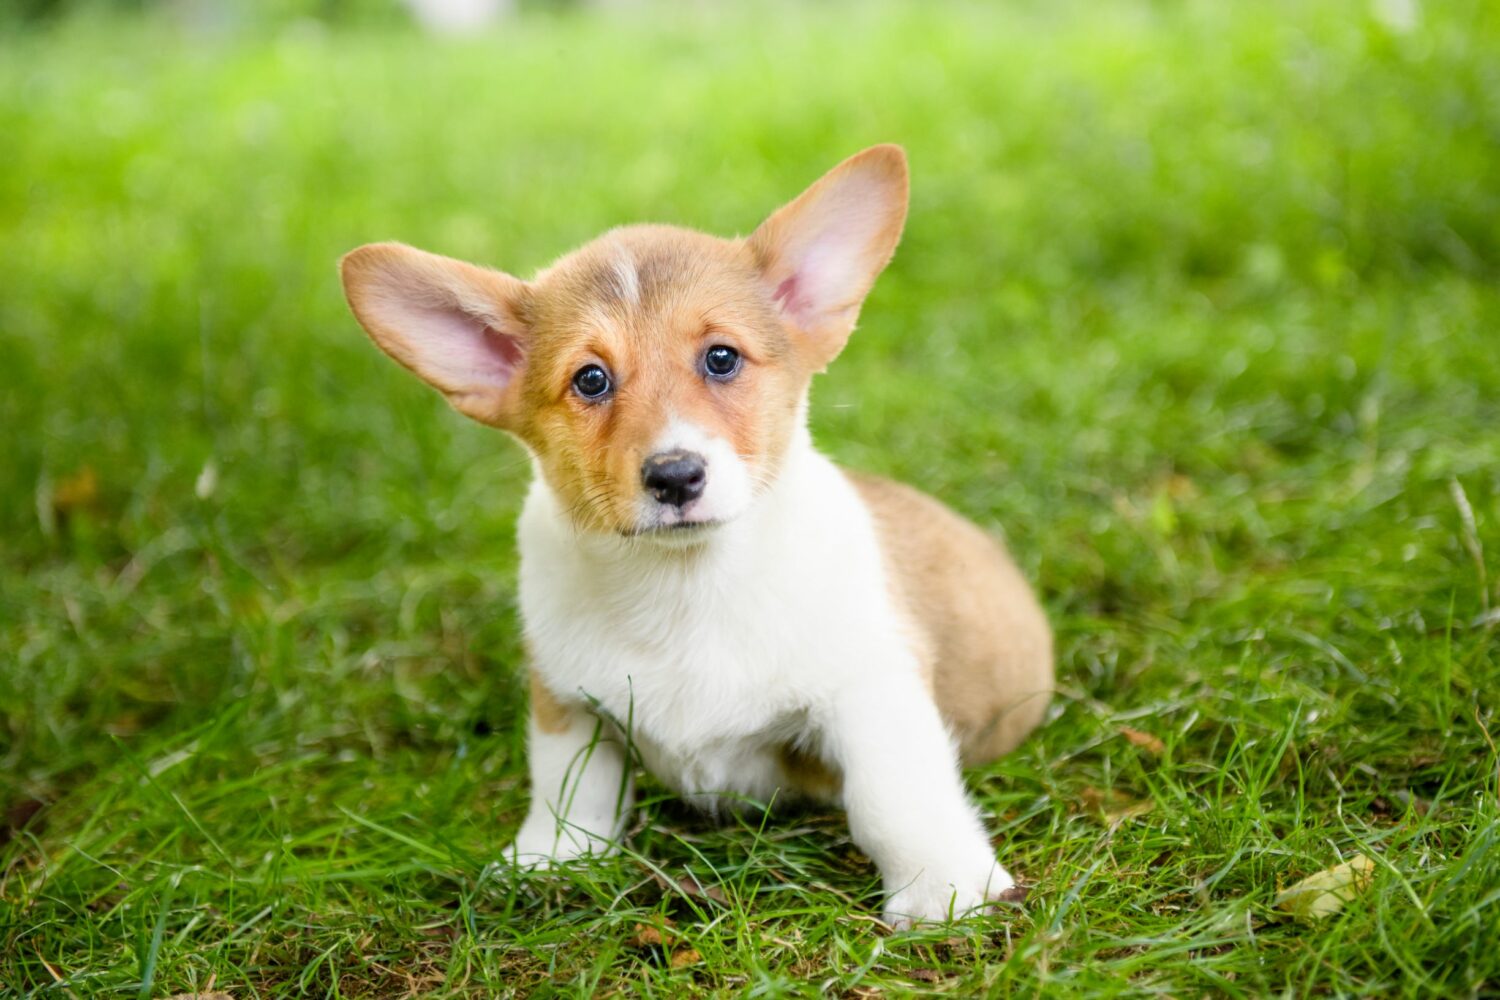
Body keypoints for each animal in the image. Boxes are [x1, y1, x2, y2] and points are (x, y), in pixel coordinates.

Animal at [339, 144, 1050, 929]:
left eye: (721, 358)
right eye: (590, 380)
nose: (675, 476)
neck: (684, 583)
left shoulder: (869, 687)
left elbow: (893, 798)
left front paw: (942, 891)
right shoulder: (567, 702)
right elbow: (569, 790)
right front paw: (549, 861)